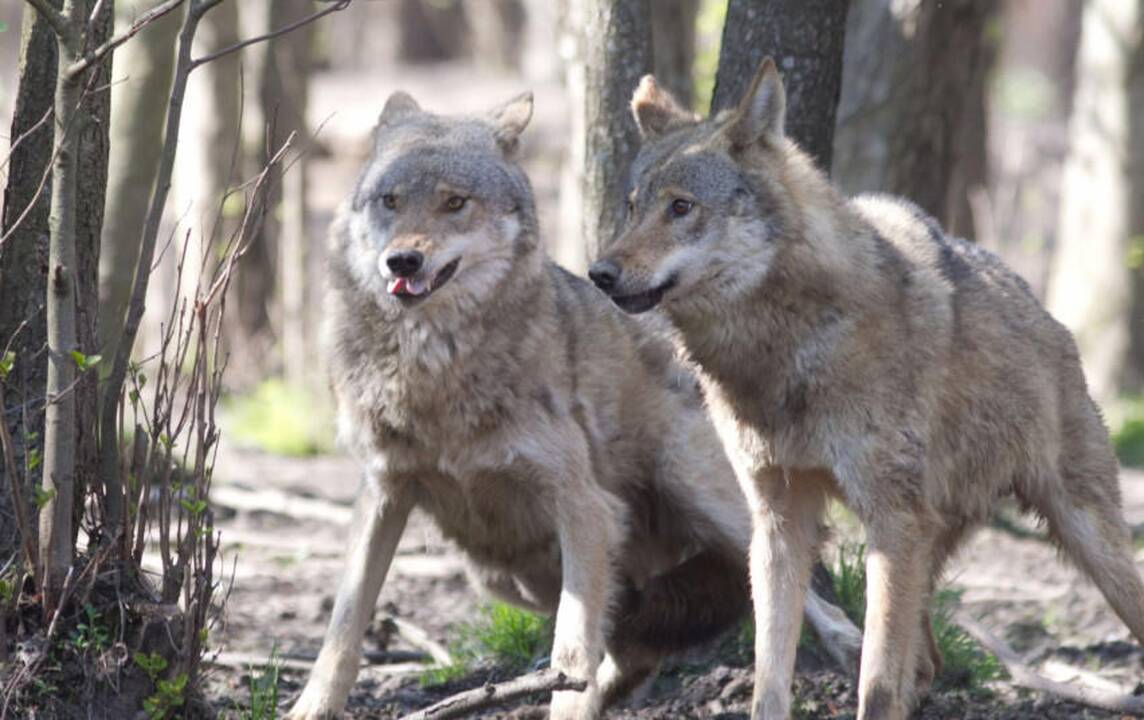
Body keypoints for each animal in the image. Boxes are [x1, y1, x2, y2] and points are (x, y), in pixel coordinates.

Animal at [286, 89, 860, 718]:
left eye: (455, 203)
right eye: (389, 201)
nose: (402, 262)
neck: (434, 371)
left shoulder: (586, 507)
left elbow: (572, 649)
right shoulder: (382, 492)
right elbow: (344, 626)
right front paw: (310, 707)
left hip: (698, 495)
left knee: (808, 598)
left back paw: (857, 651)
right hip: (502, 572)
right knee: (633, 635)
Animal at [590, 60, 1144, 718]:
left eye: (681, 207)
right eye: (631, 208)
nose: (599, 273)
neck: (781, 352)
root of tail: (1036, 299)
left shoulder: (889, 518)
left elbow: (875, 682)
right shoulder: (777, 520)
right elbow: (771, 673)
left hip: (1083, 538)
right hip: (926, 542)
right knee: (926, 663)